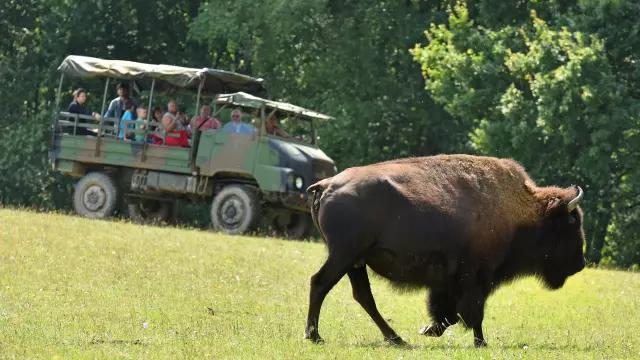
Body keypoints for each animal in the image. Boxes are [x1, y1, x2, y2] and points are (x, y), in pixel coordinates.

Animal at [302, 153, 584, 348]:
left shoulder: (450, 281)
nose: (580, 263)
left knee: (362, 296)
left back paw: (396, 338)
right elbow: (472, 312)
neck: (519, 211)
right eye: (571, 224)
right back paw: (315, 336)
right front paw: (480, 343)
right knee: (320, 283)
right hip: (344, 255)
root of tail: (326, 185)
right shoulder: (477, 277)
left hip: (355, 261)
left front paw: (428, 329)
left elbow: (449, 312)